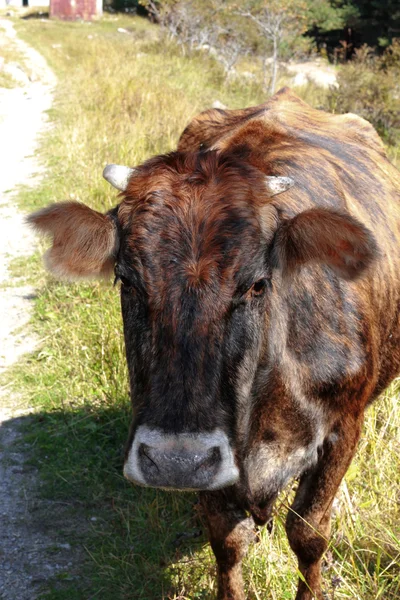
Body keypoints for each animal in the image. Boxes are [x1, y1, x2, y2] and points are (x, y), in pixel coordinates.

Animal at [28, 89, 400, 600]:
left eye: (258, 284)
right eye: (127, 281)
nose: (175, 461)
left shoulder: (344, 428)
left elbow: (309, 532)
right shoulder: (216, 467)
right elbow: (228, 541)